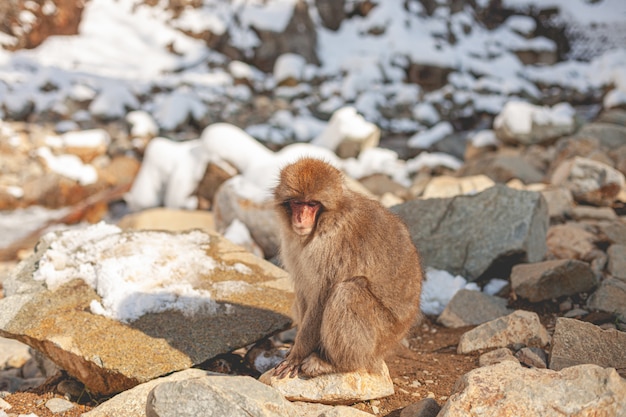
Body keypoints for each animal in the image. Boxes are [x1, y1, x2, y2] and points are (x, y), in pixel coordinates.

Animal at [272, 157, 422, 376]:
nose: (300, 219)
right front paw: (295, 349)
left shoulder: (331, 248)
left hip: (380, 336)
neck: (325, 222)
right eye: (297, 203)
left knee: (349, 291)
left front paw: (298, 354)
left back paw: (336, 363)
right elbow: (303, 288)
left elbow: (322, 297)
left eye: (312, 204)